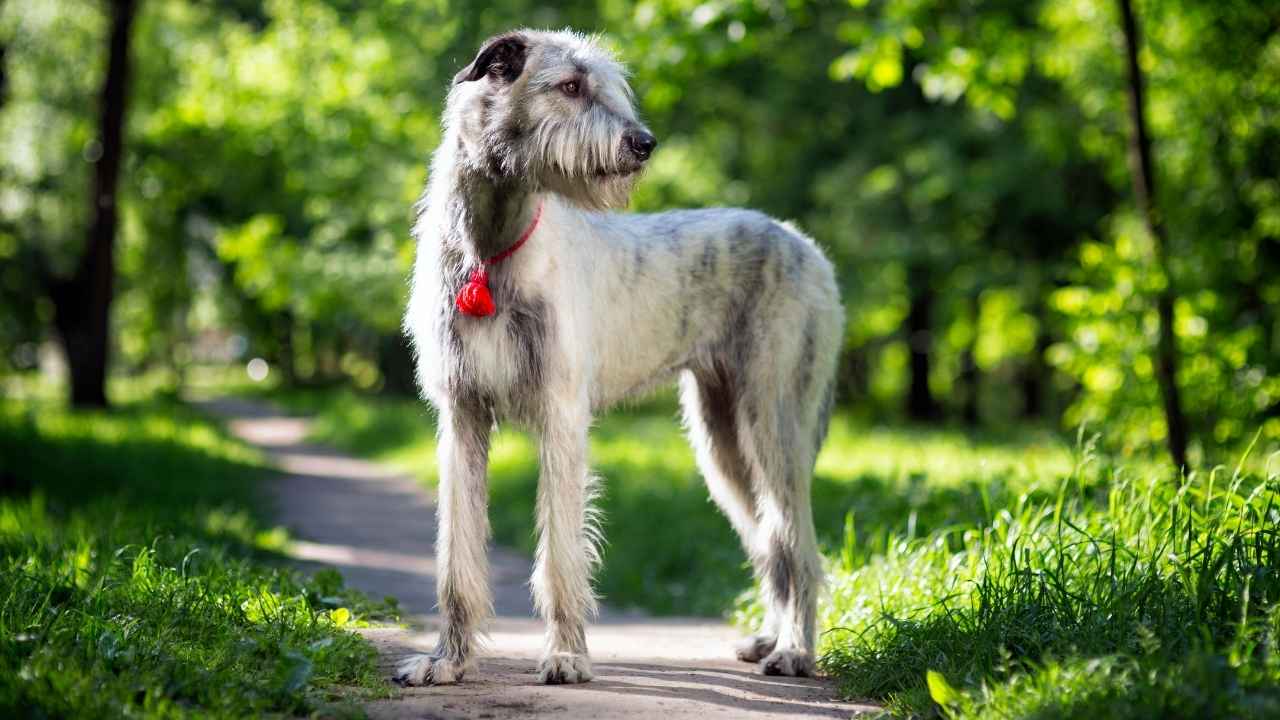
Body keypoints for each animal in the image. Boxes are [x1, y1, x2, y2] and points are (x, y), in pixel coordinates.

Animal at [394, 28, 844, 681]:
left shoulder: (561, 413)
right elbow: (457, 553)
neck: (491, 248)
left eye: (607, 87)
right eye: (570, 86)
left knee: (797, 545)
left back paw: (795, 650)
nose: (645, 143)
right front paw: (445, 661)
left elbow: (561, 552)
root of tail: (808, 246)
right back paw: (769, 637)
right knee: (771, 544)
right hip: (721, 440)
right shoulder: (462, 415)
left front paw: (565, 655)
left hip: (775, 421)